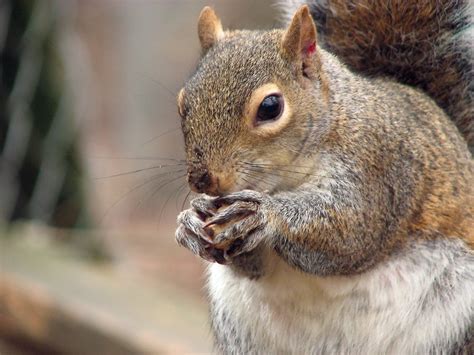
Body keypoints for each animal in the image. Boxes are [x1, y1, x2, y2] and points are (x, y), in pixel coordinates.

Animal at [175, 1, 474, 354]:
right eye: (182, 103)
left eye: (271, 107)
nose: (202, 181)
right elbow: (252, 266)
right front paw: (190, 222)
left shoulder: (379, 169)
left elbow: (351, 230)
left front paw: (264, 214)